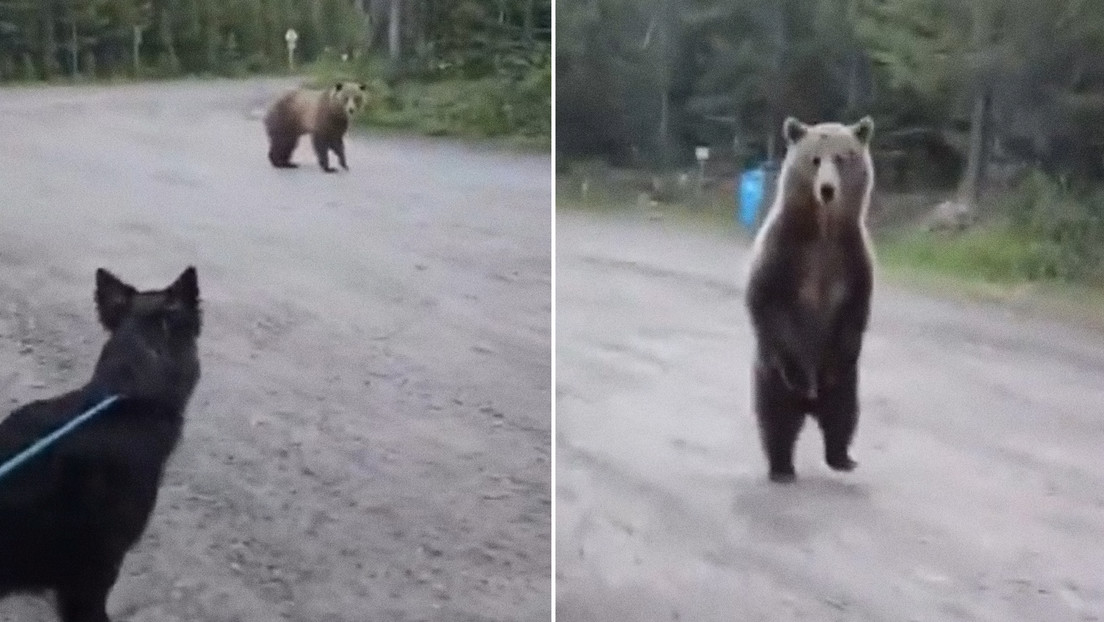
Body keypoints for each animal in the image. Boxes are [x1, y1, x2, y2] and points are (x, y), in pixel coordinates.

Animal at [744, 115, 876, 483]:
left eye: (843, 158)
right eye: (815, 159)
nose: (828, 190)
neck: (822, 230)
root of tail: (810, 406)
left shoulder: (852, 259)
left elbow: (855, 312)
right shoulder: (783, 252)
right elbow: (766, 301)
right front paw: (800, 374)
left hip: (849, 384)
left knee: (843, 414)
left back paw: (842, 457)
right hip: (769, 377)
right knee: (776, 418)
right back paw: (782, 466)